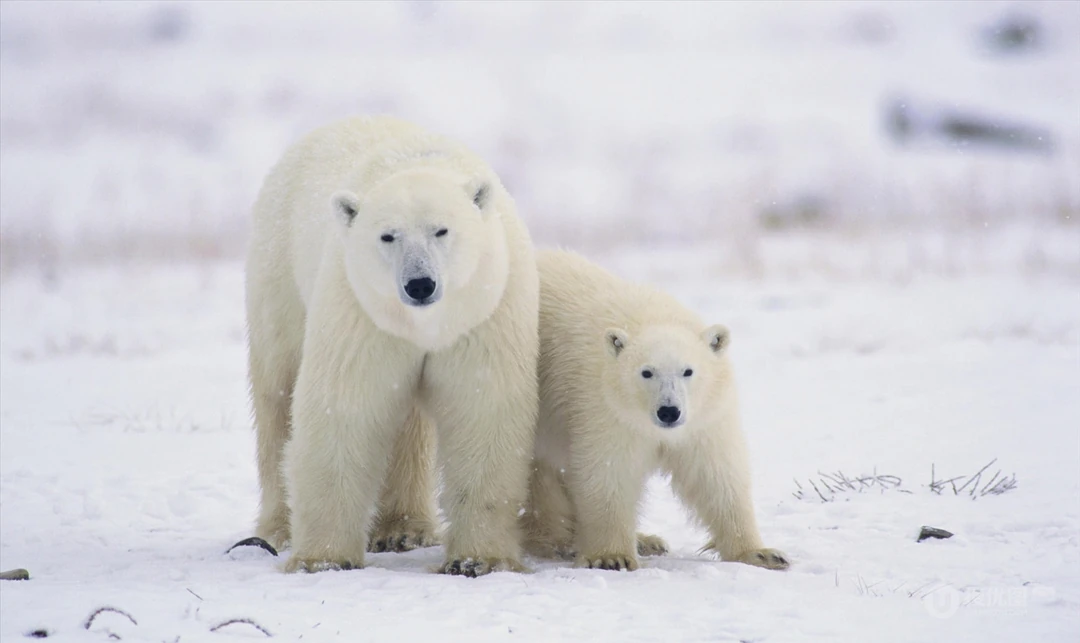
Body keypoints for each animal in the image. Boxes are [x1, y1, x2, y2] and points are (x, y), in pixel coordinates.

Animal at [244, 115, 539, 576]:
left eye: (441, 230)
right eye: (388, 236)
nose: (420, 284)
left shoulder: (484, 309)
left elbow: (482, 409)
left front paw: (477, 559)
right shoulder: (361, 310)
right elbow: (346, 405)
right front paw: (323, 559)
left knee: (409, 425)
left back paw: (404, 529)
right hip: (279, 273)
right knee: (277, 392)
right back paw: (278, 528)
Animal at [521, 249, 788, 572]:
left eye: (688, 371)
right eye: (646, 372)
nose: (669, 411)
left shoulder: (705, 416)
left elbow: (715, 474)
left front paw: (762, 553)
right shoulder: (604, 407)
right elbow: (609, 471)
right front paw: (611, 556)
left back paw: (647, 540)